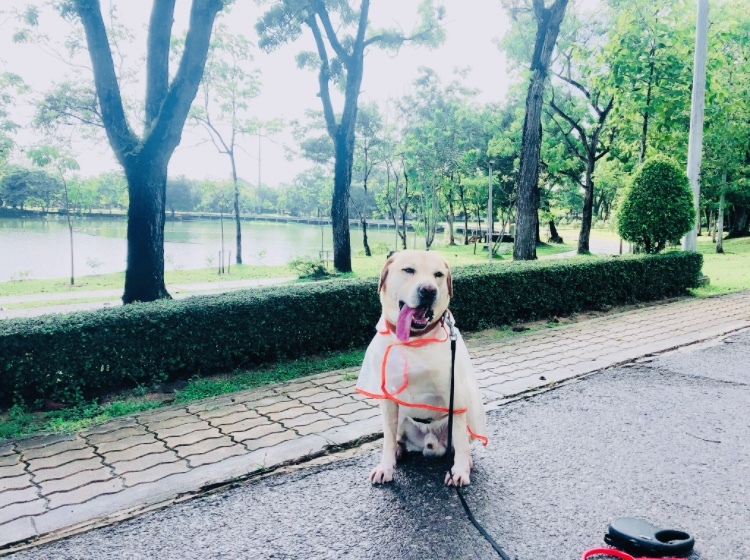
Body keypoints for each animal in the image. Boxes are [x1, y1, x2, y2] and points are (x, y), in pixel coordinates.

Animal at [356, 249, 490, 486]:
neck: (413, 339)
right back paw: (398, 451)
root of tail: (430, 444)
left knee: (461, 442)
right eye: (409, 270)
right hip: (402, 419)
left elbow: (461, 441)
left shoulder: (455, 395)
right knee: (397, 437)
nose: (428, 290)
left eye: (438, 274)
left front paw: (460, 471)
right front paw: (386, 466)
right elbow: (387, 438)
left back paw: (465, 461)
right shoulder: (387, 399)